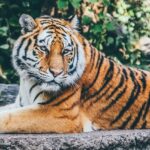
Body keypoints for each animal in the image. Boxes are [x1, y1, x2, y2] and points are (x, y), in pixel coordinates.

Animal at [0, 13, 149, 134]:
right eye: (43, 49)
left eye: (66, 51)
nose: (56, 73)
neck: (28, 79)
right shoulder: (21, 104)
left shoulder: (59, 112)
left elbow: (10, 117)